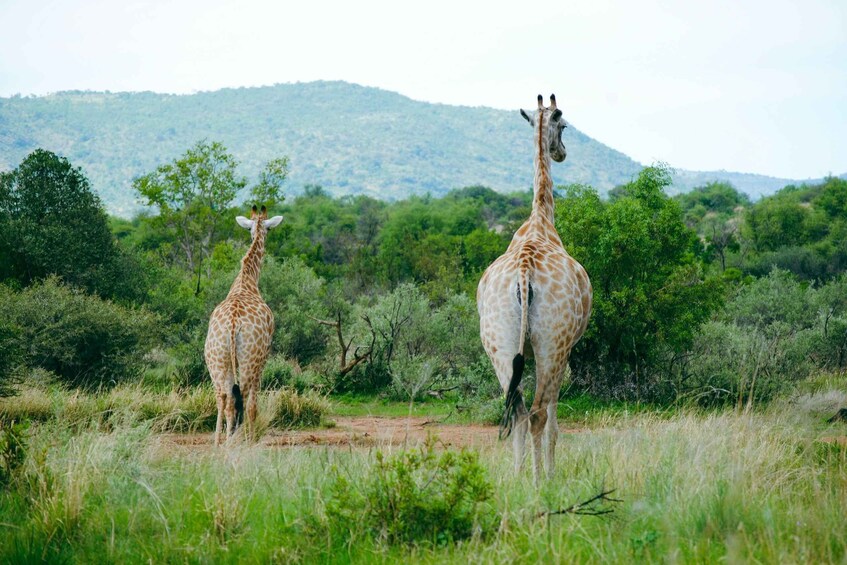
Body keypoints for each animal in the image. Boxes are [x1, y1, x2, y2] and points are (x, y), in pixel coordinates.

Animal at [205, 205, 283, 445]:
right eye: (269, 228)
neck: (247, 281)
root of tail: (233, 325)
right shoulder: (263, 359)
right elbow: (252, 405)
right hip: (250, 360)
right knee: (245, 400)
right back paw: (241, 441)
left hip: (216, 360)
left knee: (223, 398)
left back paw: (219, 443)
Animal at [477, 94, 592, 483]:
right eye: (564, 125)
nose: (562, 153)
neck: (541, 220)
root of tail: (524, 274)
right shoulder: (567, 348)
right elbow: (556, 421)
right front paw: (552, 473)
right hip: (551, 343)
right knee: (539, 413)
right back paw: (541, 481)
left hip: (499, 343)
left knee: (517, 412)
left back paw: (517, 477)